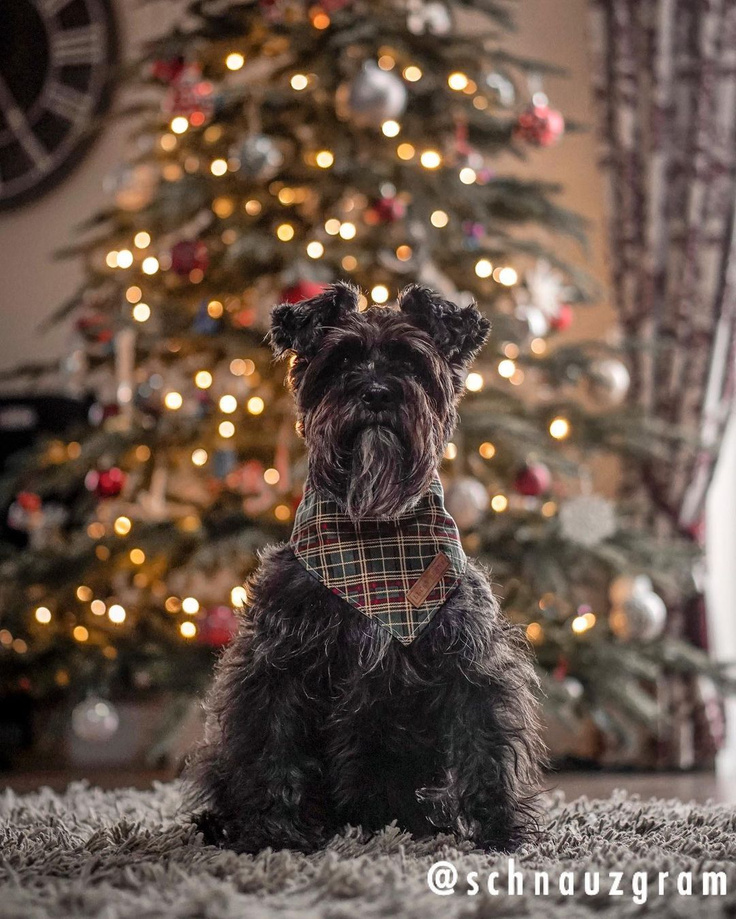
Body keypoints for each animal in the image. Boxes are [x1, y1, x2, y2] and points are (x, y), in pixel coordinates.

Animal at [187, 282, 544, 856]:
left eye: (412, 362)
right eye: (341, 361)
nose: (377, 394)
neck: (374, 534)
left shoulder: (470, 663)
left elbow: (485, 745)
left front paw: (498, 830)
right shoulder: (277, 663)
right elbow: (271, 747)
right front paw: (272, 835)